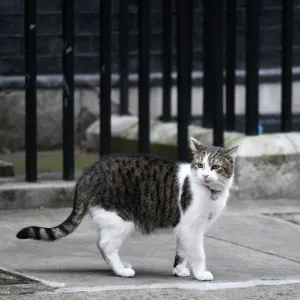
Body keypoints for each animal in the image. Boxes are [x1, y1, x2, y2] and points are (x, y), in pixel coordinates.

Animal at [16, 138, 238, 282]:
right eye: (200, 165)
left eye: (215, 167)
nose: (206, 176)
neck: (210, 191)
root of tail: (87, 174)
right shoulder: (192, 227)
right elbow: (198, 253)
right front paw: (201, 274)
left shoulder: (184, 228)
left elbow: (182, 251)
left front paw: (179, 270)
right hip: (121, 218)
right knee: (105, 245)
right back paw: (122, 271)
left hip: (109, 219)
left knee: (101, 243)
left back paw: (119, 266)